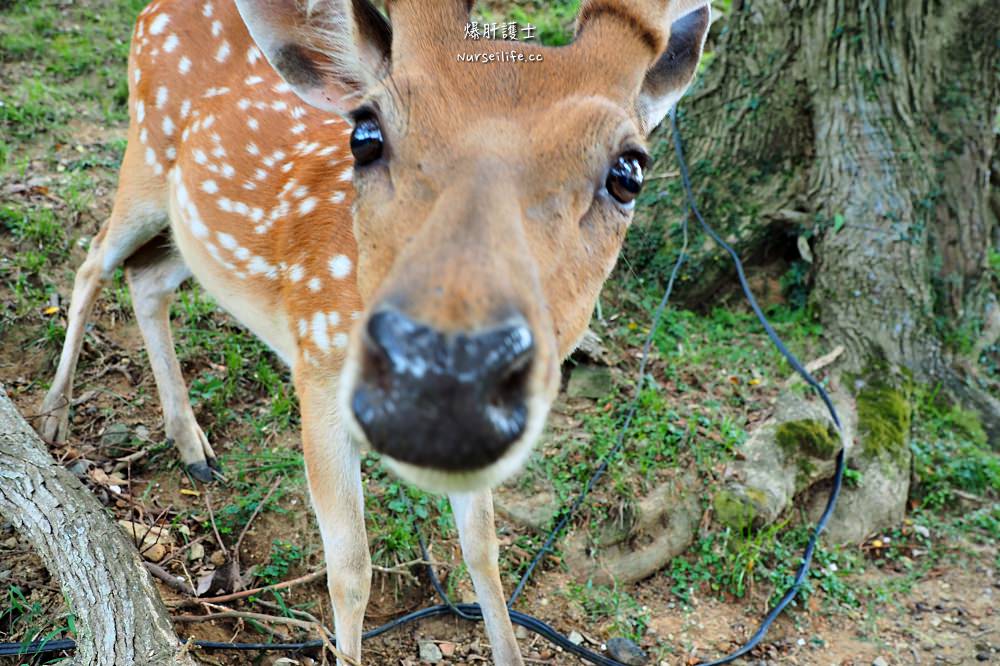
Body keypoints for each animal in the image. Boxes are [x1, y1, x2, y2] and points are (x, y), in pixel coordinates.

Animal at [39, 1, 712, 660]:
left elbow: (483, 551)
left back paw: (192, 447)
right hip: (144, 159)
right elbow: (351, 569)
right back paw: (53, 416)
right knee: (92, 261)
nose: (446, 377)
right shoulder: (317, 372)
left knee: (147, 280)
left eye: (629, 172)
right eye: (365, 135)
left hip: (190, 225)